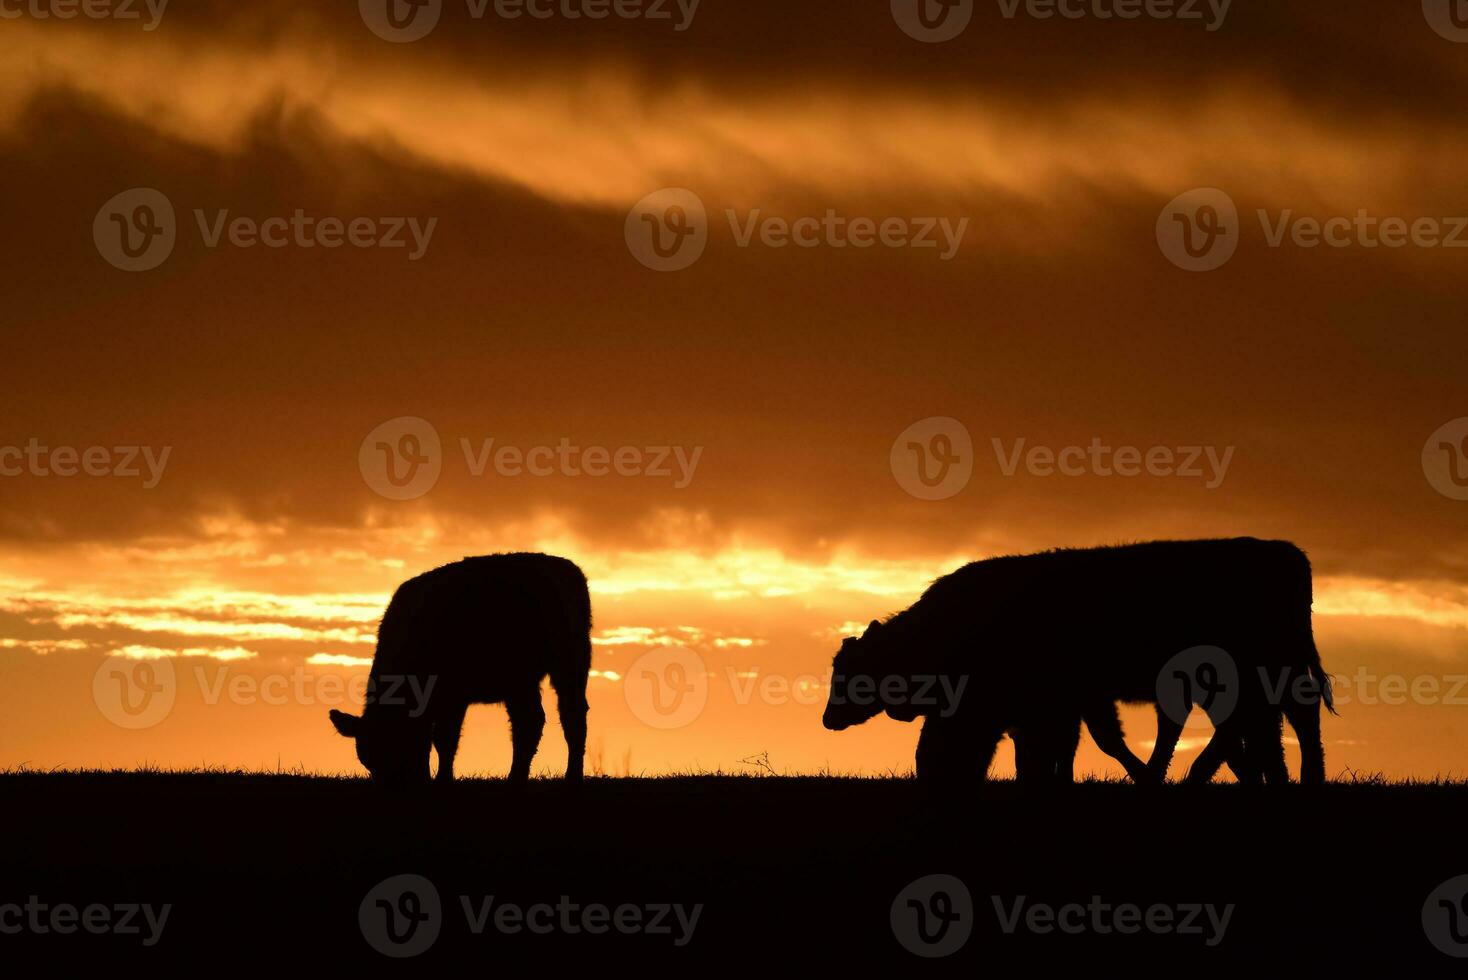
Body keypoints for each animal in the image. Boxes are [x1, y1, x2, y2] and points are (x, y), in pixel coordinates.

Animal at [328, 554, 590, 786]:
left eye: (397, 750)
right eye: (367, 761)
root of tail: (566, 569)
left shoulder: (452, 695)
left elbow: (444, 738)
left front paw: (442, 779)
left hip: (556, 667)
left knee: (559, 716)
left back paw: (558, 777)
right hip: (537, 676)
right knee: (542, 718)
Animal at [822, 539, 1338, 786]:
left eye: (851, 672)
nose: (828, 719)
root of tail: (1287, 553)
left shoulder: (1064, 701)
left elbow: (1079, 745)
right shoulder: (1065, 704)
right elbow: (1061, 748)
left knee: (1280, 718)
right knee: (1265, 723)